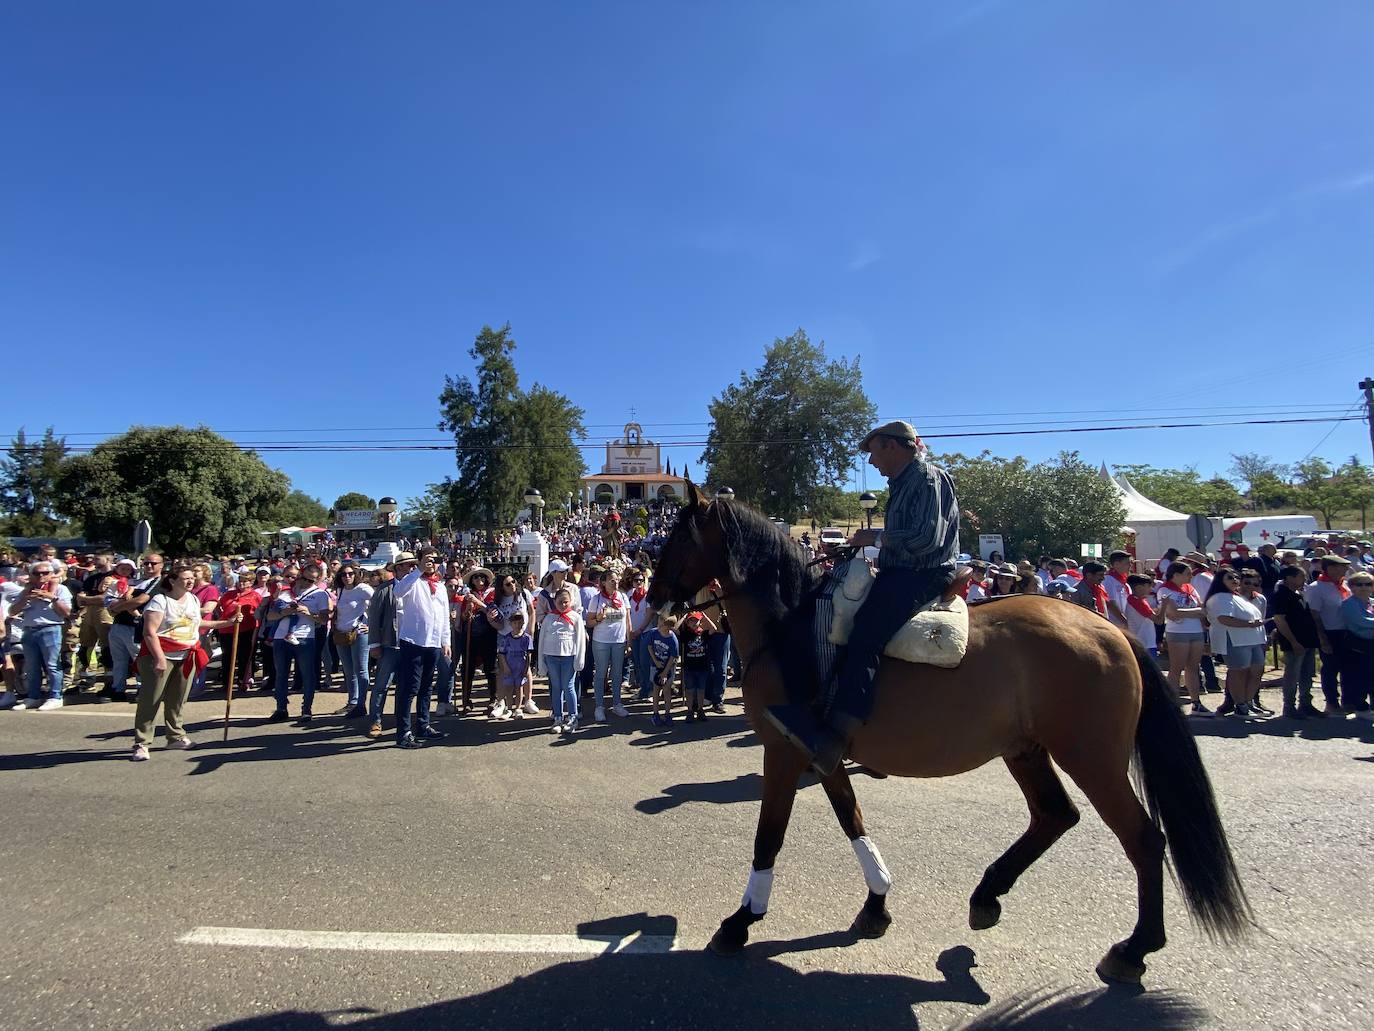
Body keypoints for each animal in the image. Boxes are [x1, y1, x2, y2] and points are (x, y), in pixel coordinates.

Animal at [648, 483, 1253, 984]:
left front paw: (741, 920)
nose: (655, 601)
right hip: (1027, 750)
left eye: (677, 537)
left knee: (1142, 839)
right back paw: (988, 895)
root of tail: (1112, 630)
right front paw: (876, 904)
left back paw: (1133, 949)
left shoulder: (784, 750)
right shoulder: (821, 751)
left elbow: (769, 836)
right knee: (1055, 816)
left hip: (1091, 757)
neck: (789, 629)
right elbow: (852, 820)